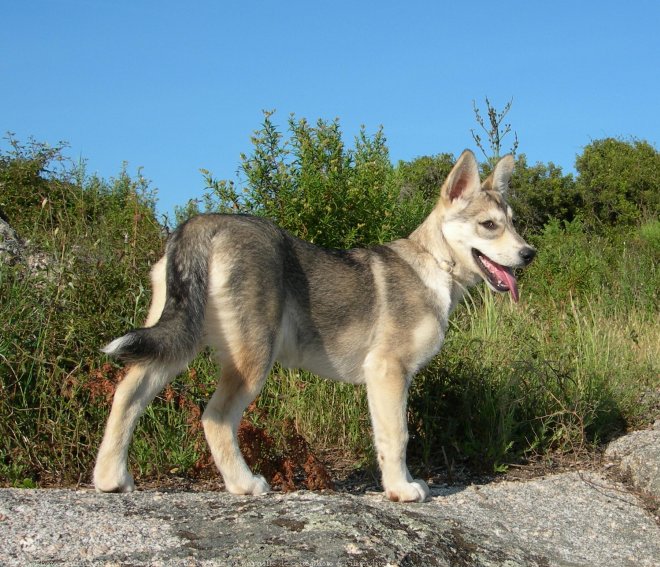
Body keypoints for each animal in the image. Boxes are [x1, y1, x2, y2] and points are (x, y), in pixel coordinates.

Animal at [93, 150, 536, 502]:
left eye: (514, 222)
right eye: (489, 225)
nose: (529, 253)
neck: (434, 265)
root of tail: (203, 223)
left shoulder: (387, 381)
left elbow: (388, 438)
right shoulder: (388, 372)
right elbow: (398, 438)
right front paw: (400, 490)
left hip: (176, 344)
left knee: (127, 396)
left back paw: (110, 479)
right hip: (251, 361)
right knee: (214, 419)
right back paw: (244, 484)